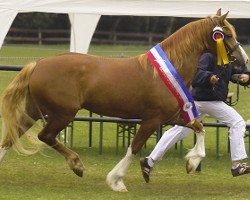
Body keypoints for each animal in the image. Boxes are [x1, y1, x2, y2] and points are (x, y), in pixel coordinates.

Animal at [0, 9, 247, 192]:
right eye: (226, 34)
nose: (243, 60)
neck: (166, 70)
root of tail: (37, 64)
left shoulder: (173, 116)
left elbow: (199, 128)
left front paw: (191, 162)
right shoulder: (152, 120)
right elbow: (133, 148)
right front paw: (116, 181)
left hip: (35, 111)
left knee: (12, 136)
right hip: (63, 113)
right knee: (45, 136)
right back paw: (77, 164)